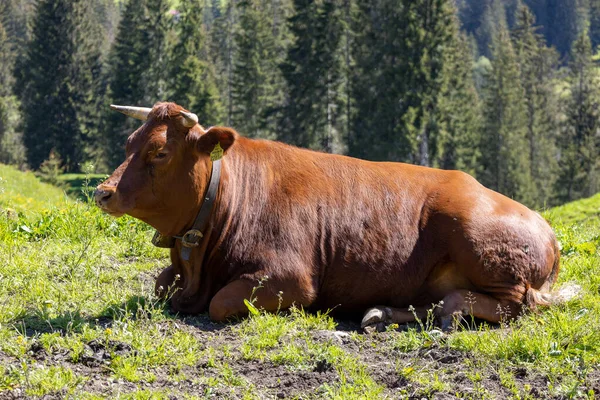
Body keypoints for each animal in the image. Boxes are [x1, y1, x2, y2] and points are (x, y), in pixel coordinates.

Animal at [96, 101, 564, 330]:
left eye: (159, 151)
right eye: (128, 142)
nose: (103, 192)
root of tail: (546, 227)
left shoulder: (290, 278)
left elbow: (221, 302)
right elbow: (160, 285)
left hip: (482, 247)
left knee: (518, 305)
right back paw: (383, 313)